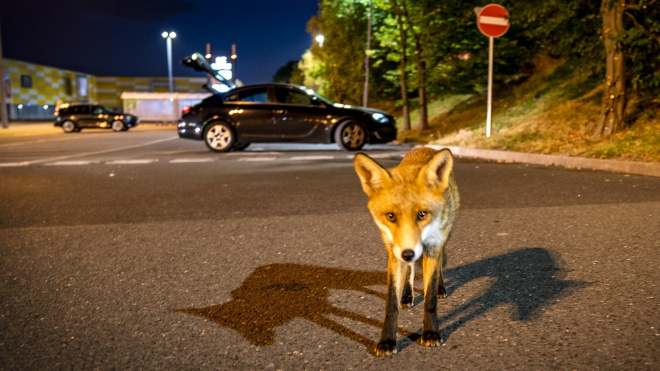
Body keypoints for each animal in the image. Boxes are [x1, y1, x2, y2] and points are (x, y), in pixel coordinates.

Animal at [356, 148, 458, 358]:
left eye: (422, 214)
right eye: (390, 216)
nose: (408, 253)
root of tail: (425, 148)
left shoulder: (432, 247)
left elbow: (429, 299)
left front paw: (431, 333)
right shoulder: (395, 252)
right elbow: (391, 304)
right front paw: (387, 340)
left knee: (438, 267)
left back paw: (440, 288)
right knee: (410, 271)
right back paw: (407, 295)